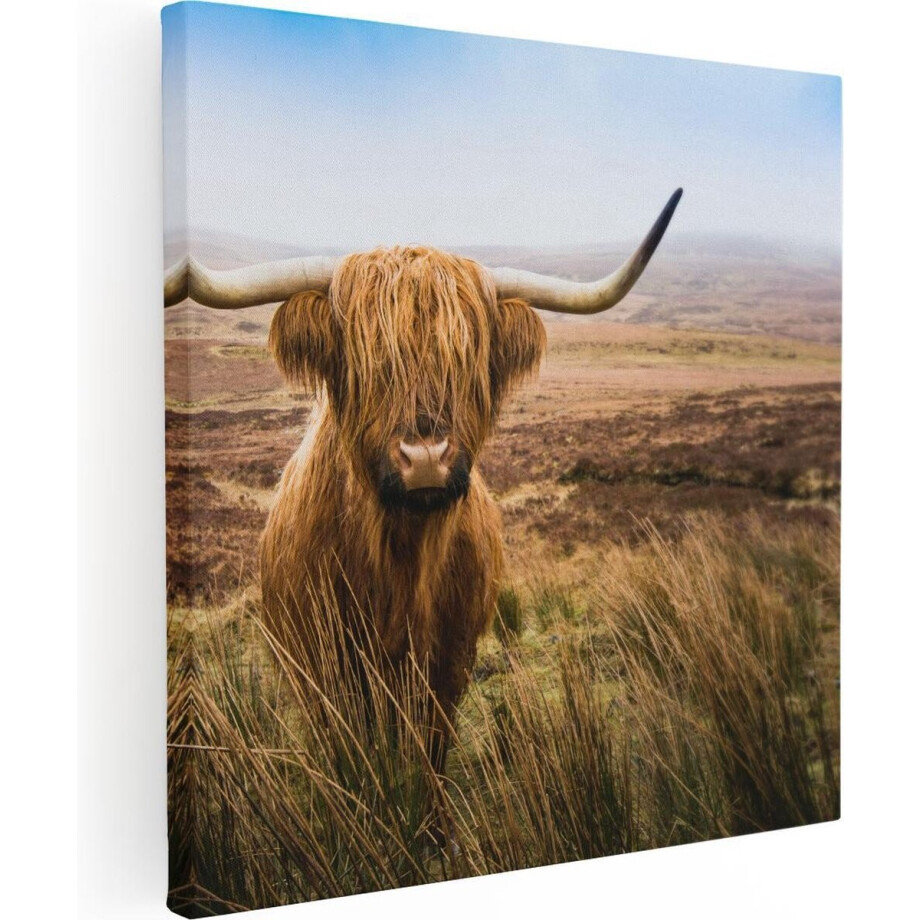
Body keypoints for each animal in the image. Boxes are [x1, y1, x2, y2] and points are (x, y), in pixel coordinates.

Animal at [164, 188, 682, 826]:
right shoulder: (324, 670)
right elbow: (350, 757)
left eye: (466, 358)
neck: (399, 563)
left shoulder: (450, 663)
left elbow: (430, 752)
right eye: (366, 360)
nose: (426, 457)